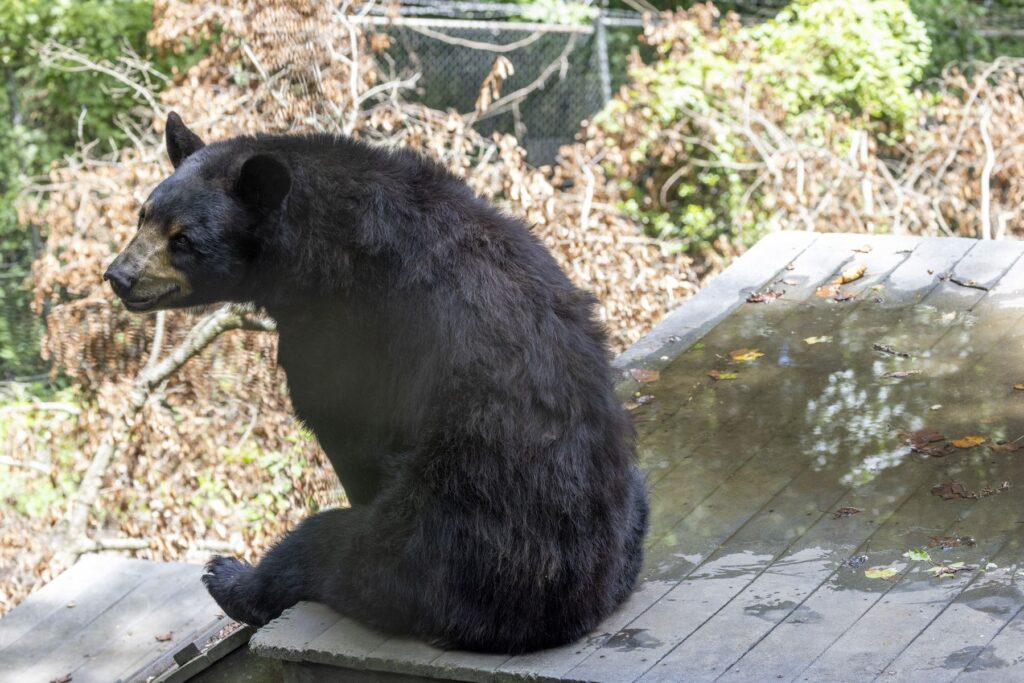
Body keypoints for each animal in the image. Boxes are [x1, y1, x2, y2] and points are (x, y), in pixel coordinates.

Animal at [103, 113, 647, 655]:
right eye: (144, 215)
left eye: (182, 239)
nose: (119, 276)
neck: (310, 242)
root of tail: (574, 609)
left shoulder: (346, 323)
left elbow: (342, 416)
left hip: (438, 537)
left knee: (333, 549)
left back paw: (232, 577)